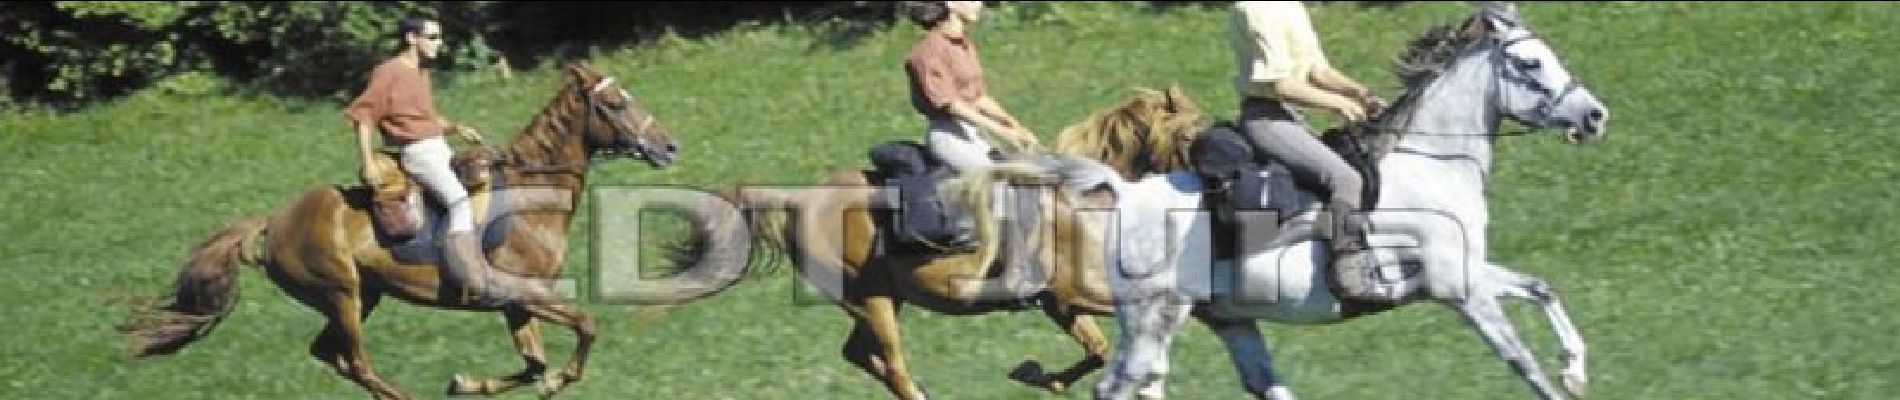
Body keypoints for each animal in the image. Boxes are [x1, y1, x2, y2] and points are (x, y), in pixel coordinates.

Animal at [120, 62, 684, 400]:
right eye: (616, 104)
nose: (669, 146)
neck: (530, 196)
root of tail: (274, 221)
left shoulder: (517, 301)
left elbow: (530, 362)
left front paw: (466, 382)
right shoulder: (521, 292)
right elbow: (585, 327)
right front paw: (555, 382)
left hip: (362, 295)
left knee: (331, 355)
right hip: (343, 294)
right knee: (356, 361)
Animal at [691, 85, 1208, 398]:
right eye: (1192, 138)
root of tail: (801, 200)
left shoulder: (1058, 303)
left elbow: (1096, 348)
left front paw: (1042, 377)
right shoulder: (1072, 293)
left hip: (880, 300)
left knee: (861, 355)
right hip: (870, 301)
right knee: (893, 365)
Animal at [1079, 3, 1611, 400]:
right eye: (1530, 63)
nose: (1595, 116)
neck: (1432, 163)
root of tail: (1127, 193)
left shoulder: (1465, 271)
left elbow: (1541, 288)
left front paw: (1575, 370)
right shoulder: (1458, 287)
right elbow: (1522, 361)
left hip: (1229, 320)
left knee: (1259, 384)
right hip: (1155, 318)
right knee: (1115, 387)